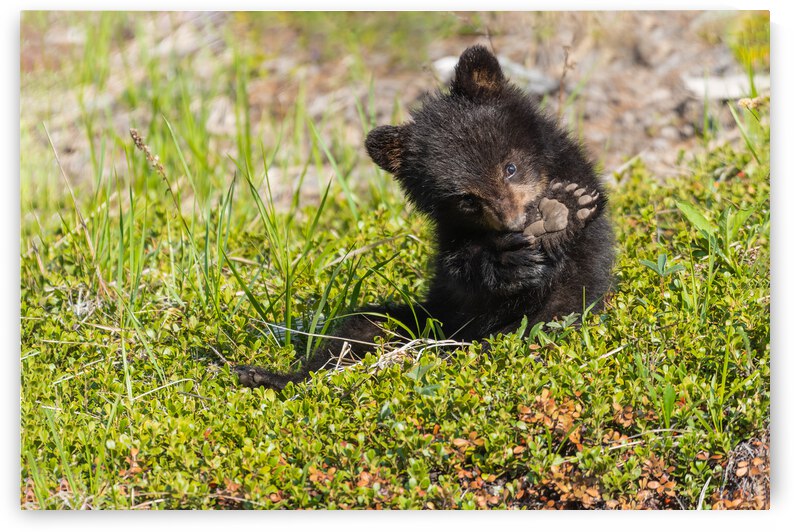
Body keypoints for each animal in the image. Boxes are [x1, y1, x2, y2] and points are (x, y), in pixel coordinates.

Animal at [234, 45, 614, 391]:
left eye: (510, 167)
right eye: (466, 199)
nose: (515, 224)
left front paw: (559, 212)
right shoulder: (451, 234)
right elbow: (462, 271)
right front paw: (509, 258)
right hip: (430, 319)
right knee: (360, 328)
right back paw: (267, 376)